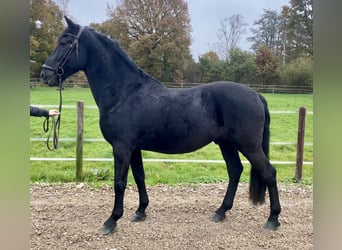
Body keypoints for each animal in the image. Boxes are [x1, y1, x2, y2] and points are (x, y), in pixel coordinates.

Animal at [40, 16, 280, 235]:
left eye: (65, 43)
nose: (45, 74)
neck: (125, 93)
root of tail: (256, 94)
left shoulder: (122, 147)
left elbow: (119, 182)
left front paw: (111, 221)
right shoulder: (134, 148)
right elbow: (139, 177)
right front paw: (140, 211)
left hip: (248, 146)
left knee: (268, 172)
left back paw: (273, 219)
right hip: (226, 143)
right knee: (235, 170)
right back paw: (221, 212)